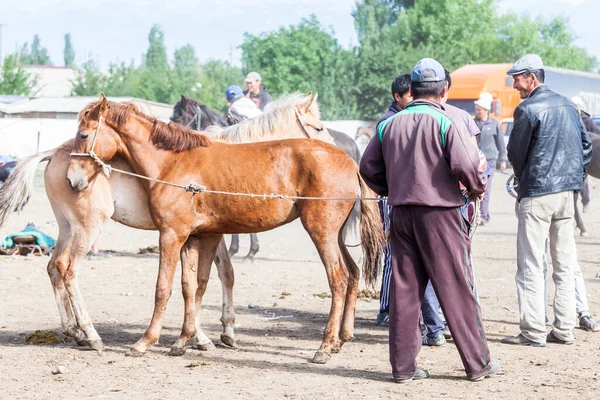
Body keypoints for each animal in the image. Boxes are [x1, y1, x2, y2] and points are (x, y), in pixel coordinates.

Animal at [0, 94, 340, 356]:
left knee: (54, 267)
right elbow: (206, 280)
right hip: (87, 228)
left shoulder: (202, 234)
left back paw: (74, 331)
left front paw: (205, 335)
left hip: (67, 228)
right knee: (68, 269)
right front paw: (210, 334)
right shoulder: (200, 234)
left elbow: (203, 282)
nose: (339, 150)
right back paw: (90, 333)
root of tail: (54, 154)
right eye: (319, 127)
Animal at [65, 95, 384, 364]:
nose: (73, 179)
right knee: (352, 273)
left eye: (83, 135)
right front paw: (184, 340)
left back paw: (325, 346)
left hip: (322, 233)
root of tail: (349, 161)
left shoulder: (171, 235)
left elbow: (164, 287)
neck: (173, 163)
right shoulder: (196, 237)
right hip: (335, 235)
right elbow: (193, 287)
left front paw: (146, 341)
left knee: (339, 279)